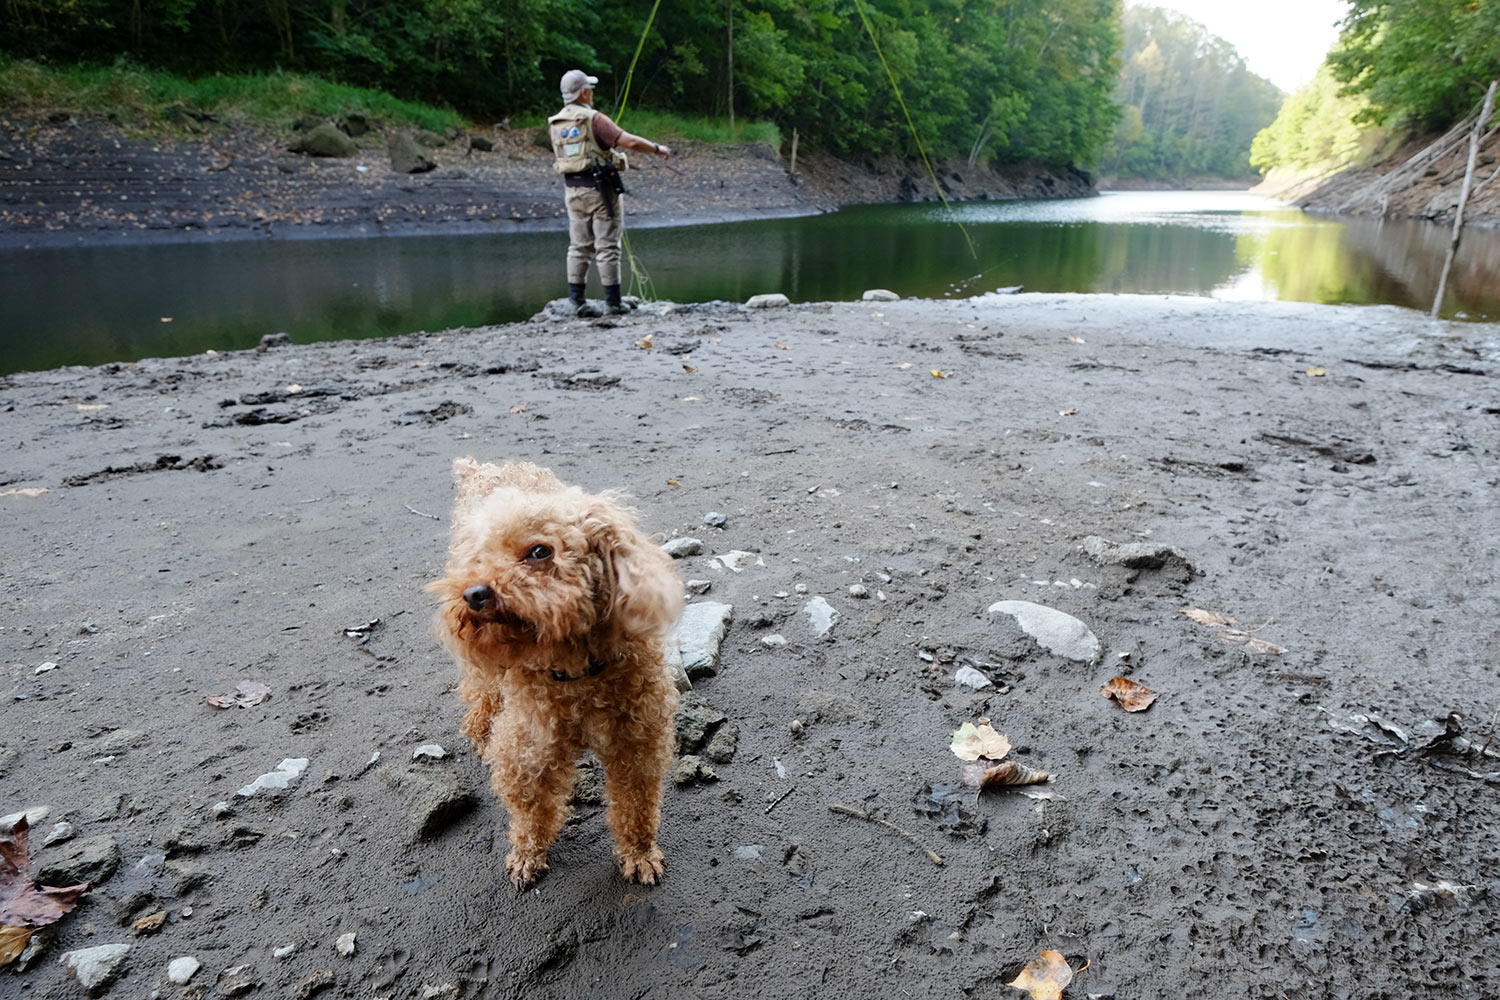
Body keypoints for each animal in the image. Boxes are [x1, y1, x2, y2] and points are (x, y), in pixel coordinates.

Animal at [423, 458, 681, 887]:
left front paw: (639, 853)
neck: (577, 673)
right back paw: (481, 734)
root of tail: (483, 469)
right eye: (479, 559)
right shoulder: (528, 749)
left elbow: (636, 805)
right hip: (484, 677)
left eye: (540, 551)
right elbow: (530, 810)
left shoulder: (637, 742)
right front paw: (528, 855)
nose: (474, 594)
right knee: (480, 697)